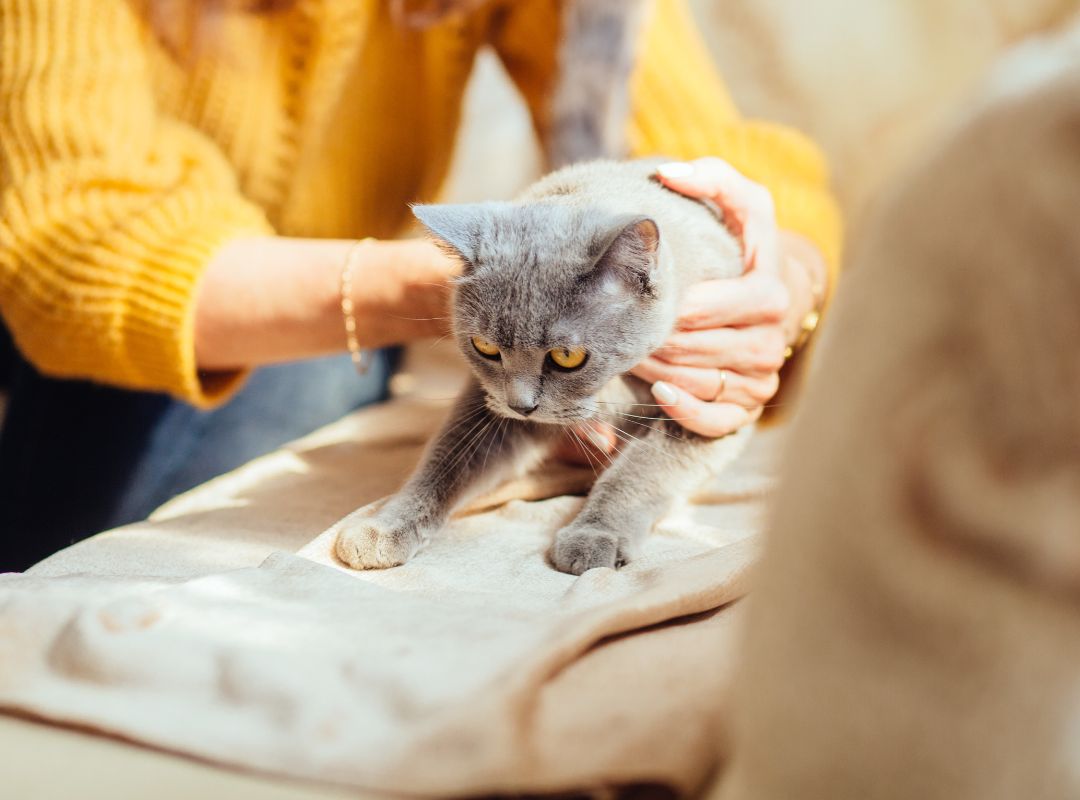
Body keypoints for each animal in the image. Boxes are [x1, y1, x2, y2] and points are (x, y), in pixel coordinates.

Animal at [334, 160, 751, 574]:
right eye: (485, 347)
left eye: (567, 356)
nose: (522, 406)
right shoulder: (488, 403)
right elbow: (447, 458)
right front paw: (382, 528)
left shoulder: (702, 413)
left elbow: (643, 468)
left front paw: (593, 535)